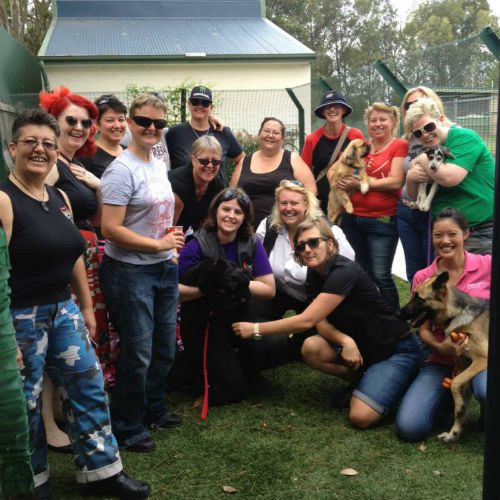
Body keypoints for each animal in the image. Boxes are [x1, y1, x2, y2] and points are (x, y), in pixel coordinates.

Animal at [400, 272, 486, 444]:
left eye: (418, 298)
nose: (398, 313)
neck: (458, 313)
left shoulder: (482, 359)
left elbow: (454, 383)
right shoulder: (465, 365)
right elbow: (460, 406)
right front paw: (453, 433)